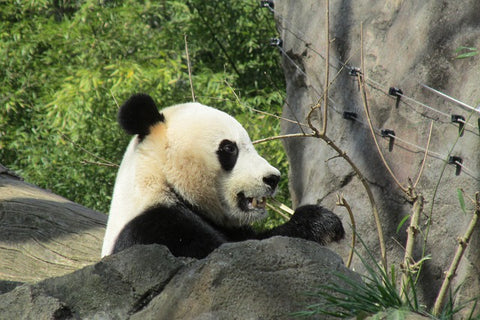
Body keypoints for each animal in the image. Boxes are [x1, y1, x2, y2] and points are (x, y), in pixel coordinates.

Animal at [100, 94, 344, 258]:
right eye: (229, 148)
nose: (272, 178)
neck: (159, 179)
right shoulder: (156, 229)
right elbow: (227, 253)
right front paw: (319, 222)